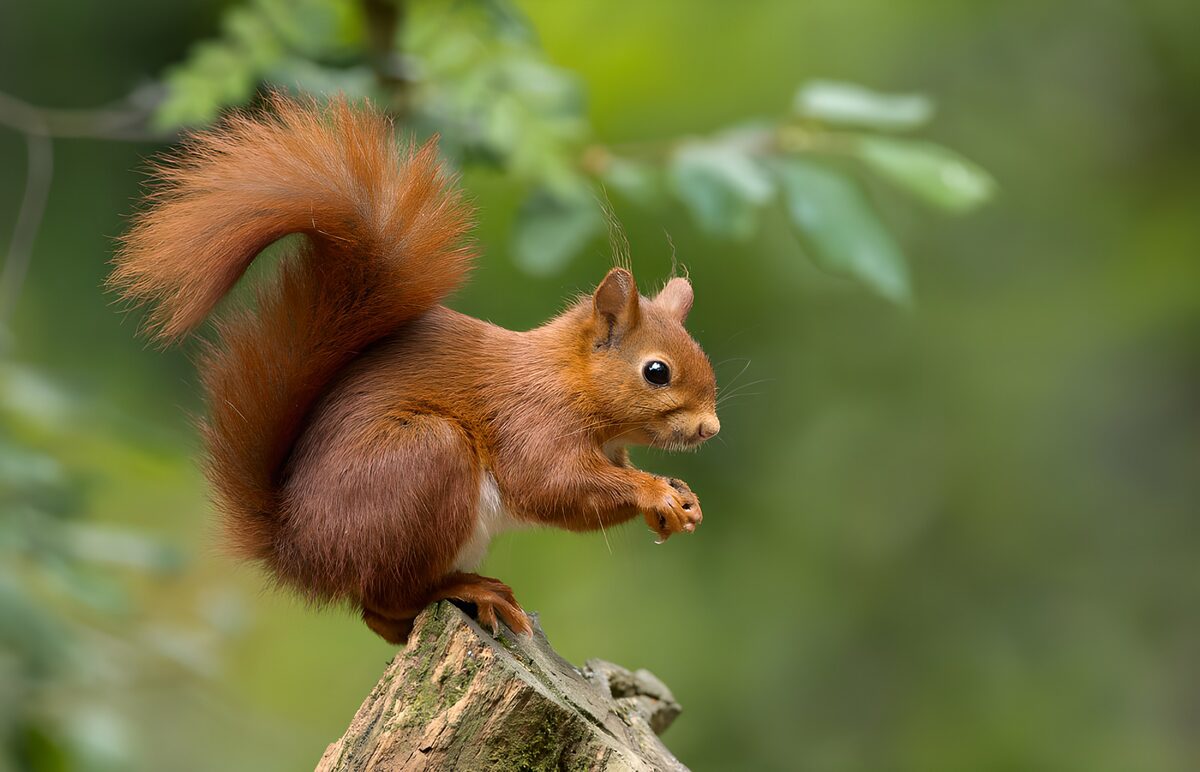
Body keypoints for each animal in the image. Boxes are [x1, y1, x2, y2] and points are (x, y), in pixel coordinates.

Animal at [109, 95, 720, 644]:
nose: (710, 428)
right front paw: (654, 493)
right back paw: (467, 589)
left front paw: (680, 499)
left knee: (379, 618)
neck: (570, 380)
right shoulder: (533, 419)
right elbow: (552, 485)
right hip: (425, 461)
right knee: (385, 599)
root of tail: (298, 552)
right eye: (657, 371)